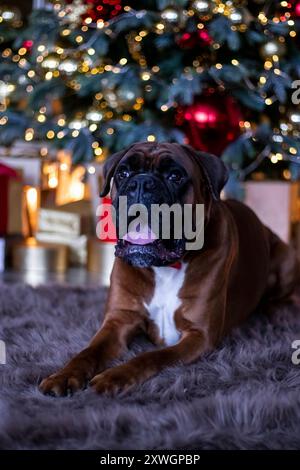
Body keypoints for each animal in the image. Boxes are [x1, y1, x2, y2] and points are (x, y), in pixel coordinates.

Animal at [38, 140, 298, 396]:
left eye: (175, 176)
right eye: (123, 173)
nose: (141, 183)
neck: (164, 267)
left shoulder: (198, 336)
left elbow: (150, 357)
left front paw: (114, 376)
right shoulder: (118, 322)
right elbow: (87, 352)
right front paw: (63, 375)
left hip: (285, 258)